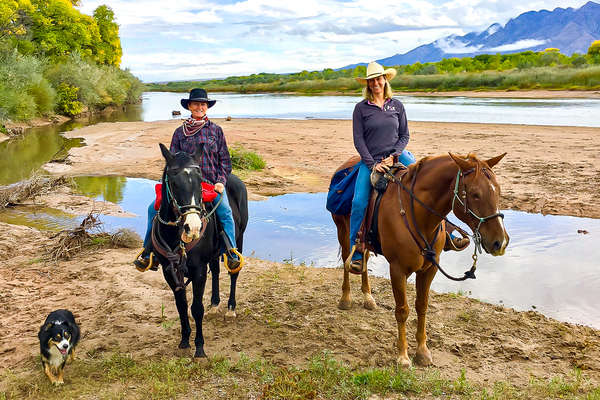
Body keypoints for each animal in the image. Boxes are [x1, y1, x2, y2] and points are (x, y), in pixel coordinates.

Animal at [156, 143, 250, 356]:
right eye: (173, 181)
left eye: (199, 181)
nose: (193, 227)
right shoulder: (169, 271)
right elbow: (181, 305)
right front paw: (184, 340)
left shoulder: (198, 270)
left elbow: (196, 308)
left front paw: (199, 347)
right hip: (213, 255)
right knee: (215, 270)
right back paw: (214, 304)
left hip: (238, 239)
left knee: (234, 272)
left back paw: (230, 308)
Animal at [330, 152, 508, 368]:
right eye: (475, 194)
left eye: (498, 190)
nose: (500, 242)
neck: (418, 214)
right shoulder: (397, 270)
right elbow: (402, 310)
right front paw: (403, 357)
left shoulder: (429, 269)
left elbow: (422, 306)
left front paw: (422, 352)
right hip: (343, 231)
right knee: (347, 262)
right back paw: (346, 298)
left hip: (365, 242)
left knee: (362, 258)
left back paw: (368, 297)